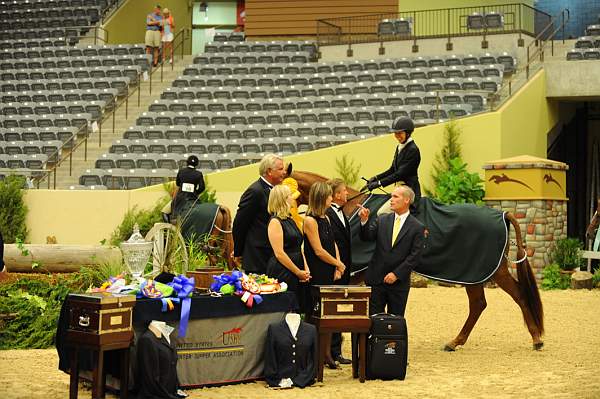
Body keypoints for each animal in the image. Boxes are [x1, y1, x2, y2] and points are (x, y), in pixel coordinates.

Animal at [292, 170, 548, 352]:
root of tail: (502, 214)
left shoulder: (357, 273)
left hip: (490, 271)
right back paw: (456, 342)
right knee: (479, 304)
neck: (350, 208)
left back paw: (536, 339)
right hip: (475, 274)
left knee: (516, 295)